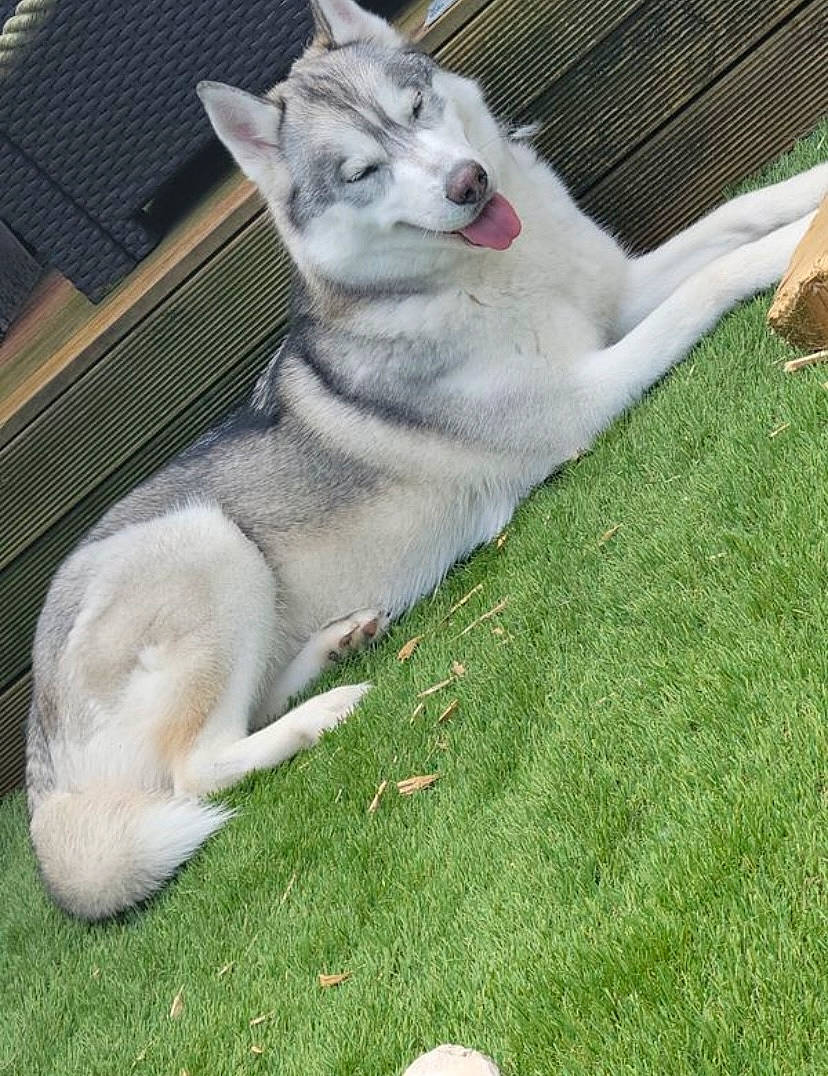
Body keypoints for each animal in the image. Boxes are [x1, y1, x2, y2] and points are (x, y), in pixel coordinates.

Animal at [25, 0, 827, 920]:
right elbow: (719, 272)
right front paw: (787, 256)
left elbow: (741, 211)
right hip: (201, 542)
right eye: (364, 171)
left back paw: (338, 646)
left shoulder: (622, 292)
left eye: (413, 109)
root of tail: (41, 776)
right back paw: (326, 712)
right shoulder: (581, 397)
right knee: (196, 768)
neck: (491, 268)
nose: (469, 183)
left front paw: (812, 191)